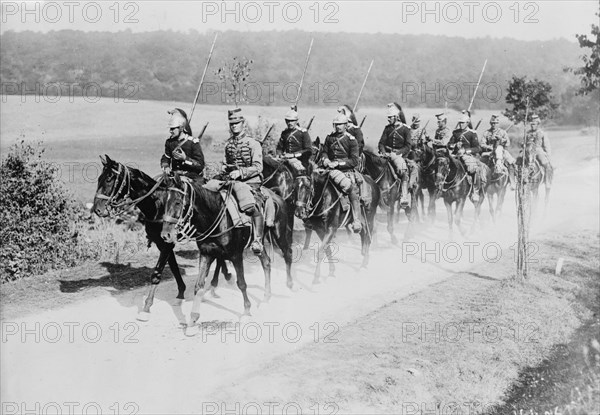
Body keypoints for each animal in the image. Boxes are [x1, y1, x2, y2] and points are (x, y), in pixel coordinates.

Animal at [92, 156, 231, 322]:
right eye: (99, 178)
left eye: (109, 179)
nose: (97, 209)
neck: (158, 203)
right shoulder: (162, 242)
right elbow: (174, 268)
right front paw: (180, 294)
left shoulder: (166, 244)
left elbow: (157, 273)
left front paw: (146, 308)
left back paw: (215, 285)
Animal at [158, 175, 292, 334]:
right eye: (164, 202)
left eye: (178, 202)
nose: (165, 235)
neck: (216, 216)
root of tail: (277, 196)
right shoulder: (206, 254)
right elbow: (199, 285)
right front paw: (192, 321)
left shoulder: (236, 256)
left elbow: (242, 284)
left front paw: (246, 312)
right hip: (260, 244)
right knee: (266, 262)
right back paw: (266, 298)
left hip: (279, 234)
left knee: (288, 254)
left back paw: (290, 285)